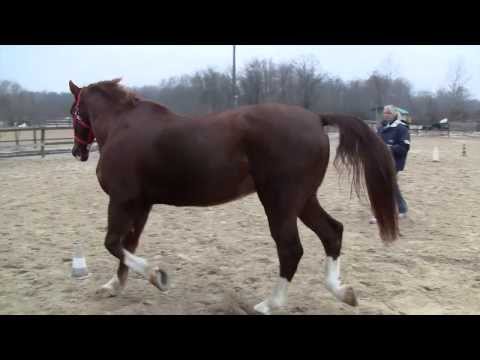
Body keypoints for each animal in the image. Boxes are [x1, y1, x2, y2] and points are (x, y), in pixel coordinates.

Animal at [66, 78, 398, 312]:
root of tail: (316, 118)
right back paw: (343, 292)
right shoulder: (142, 204)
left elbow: (113, 243)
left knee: (291, 248)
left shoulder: (121, 200)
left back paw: (269, 304)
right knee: (332, 232)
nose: (77, 151)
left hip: (279, 201)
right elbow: (128, 244)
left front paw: (157, 275)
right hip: (303, 200)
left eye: (73, 111)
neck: (123, 127)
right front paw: (114, 286)